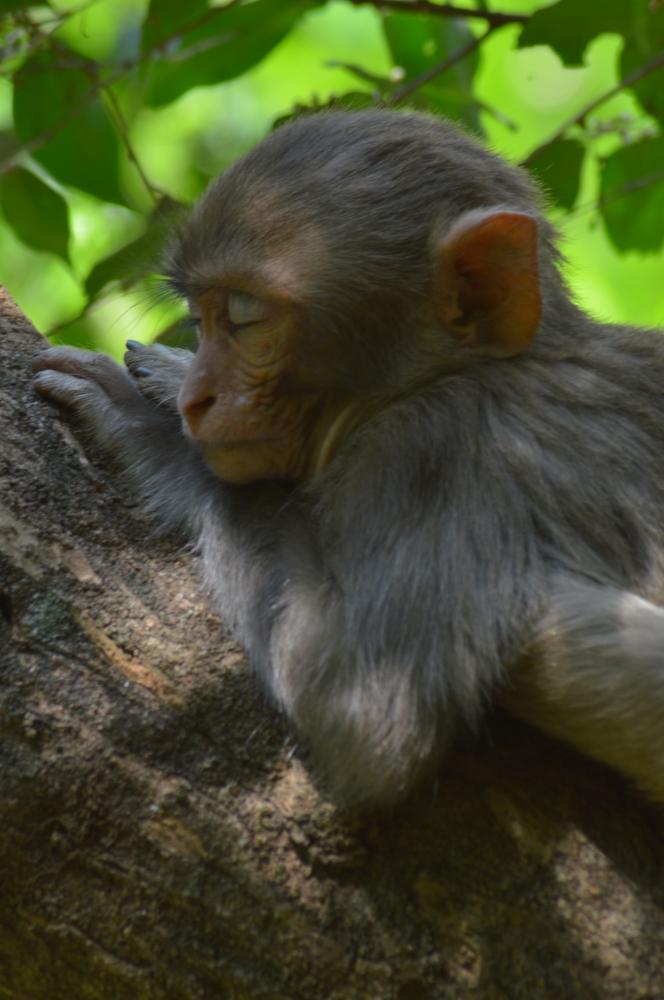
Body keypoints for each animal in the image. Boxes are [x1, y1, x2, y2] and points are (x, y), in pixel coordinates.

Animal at [33, 110, 664, 808]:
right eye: (199, 318)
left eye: (245, 321)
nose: (198, 398)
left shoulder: (435, 451)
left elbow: (366, 716)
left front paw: (160, 439)